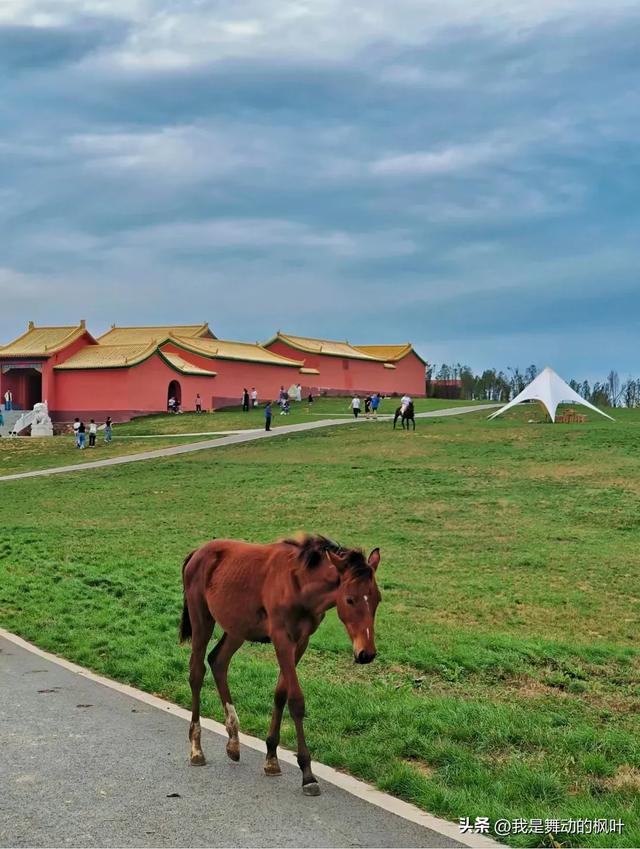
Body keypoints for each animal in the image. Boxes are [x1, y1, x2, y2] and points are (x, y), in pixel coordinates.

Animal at [178, 532, 380, 792]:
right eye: (350, 599)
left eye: (377, 599)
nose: (366, 653)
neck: (299, 584)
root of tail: (197, 553)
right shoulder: (282, 639)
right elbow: (296, 701)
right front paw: (307, 773)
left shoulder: (301, 642)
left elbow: (281, 693)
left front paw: (272, 758)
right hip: (202, 618)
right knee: (197, 671)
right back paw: (197, 748)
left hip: (237, 628)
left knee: (218, 661)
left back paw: (233, 741)